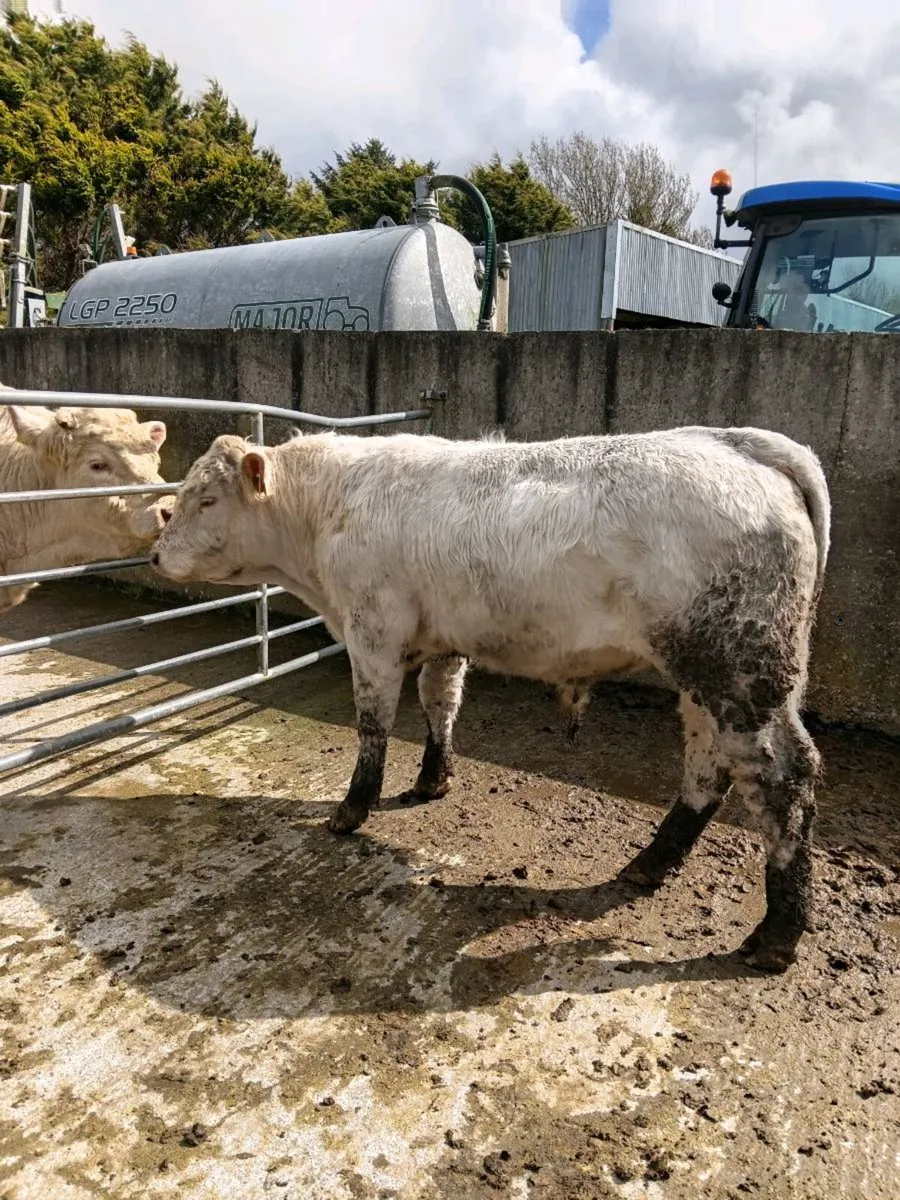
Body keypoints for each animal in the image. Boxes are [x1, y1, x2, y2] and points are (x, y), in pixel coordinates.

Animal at [150, 423, 831, 973]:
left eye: (207, 499)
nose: (154, 555)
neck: (326, 512)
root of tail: (740, 444)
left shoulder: (373, 631)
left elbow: (373, 722)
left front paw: (352, 809)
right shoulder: (442, 638)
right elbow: (440, 702)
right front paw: (433, 779)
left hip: (739, 669)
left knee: (781, 777)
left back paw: (776, 936)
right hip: (710, 677)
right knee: (707, 764)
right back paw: (651, 864)